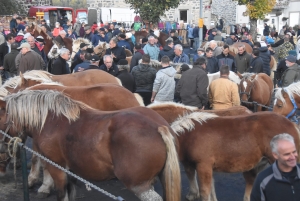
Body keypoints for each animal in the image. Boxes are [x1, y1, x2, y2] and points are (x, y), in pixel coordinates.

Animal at [0, 90, 180, 201]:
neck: (50, 120)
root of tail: (158, 127)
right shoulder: (71, 173)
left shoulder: (57, 169)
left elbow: (61, 195)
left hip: (139, 186)